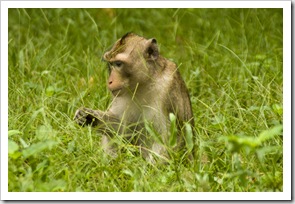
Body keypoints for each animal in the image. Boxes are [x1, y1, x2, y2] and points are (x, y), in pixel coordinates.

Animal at [74, 32, 194, 163]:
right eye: (110, 64)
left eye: (118, 64)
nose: (109, 81)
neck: (144, 83)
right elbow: (123, 129)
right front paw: (90, 117)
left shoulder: (169, 89)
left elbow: (170, 136)